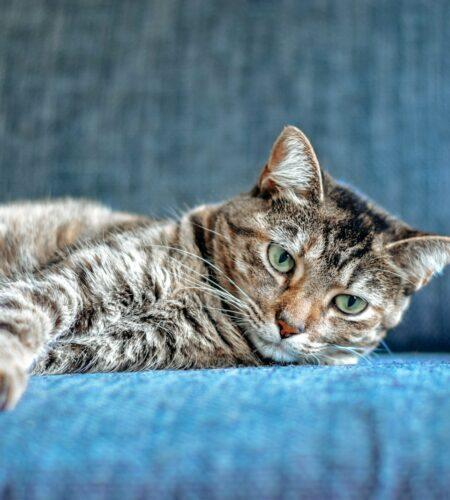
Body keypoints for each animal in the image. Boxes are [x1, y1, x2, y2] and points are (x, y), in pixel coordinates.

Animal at [0, 125, 450, 410]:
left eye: (350, 304)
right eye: (281, 258)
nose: (288, 327)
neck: (199, 294)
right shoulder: (77, 281)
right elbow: (21, 315)